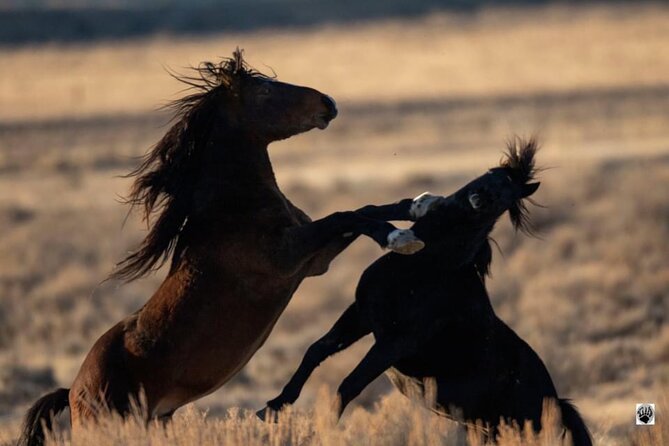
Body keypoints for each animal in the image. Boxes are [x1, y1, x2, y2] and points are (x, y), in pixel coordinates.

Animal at [18, 50, 426, 446]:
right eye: (265, 91)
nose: (329, 102)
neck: (234, 207)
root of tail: (73, 391)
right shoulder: (288, 256)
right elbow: (347, 215)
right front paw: (400, 238)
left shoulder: (314, 261)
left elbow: (362, 210)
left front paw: (419, 205)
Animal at [259, 139, 593, 446]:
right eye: (493, 175)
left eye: (505, 195)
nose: (480, 198)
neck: (430, 265)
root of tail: (559, 405)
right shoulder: (361, 315)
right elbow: (317, 349)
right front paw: (272, 409)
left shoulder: (396, 341)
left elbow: (349, 384)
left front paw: (320, 429)